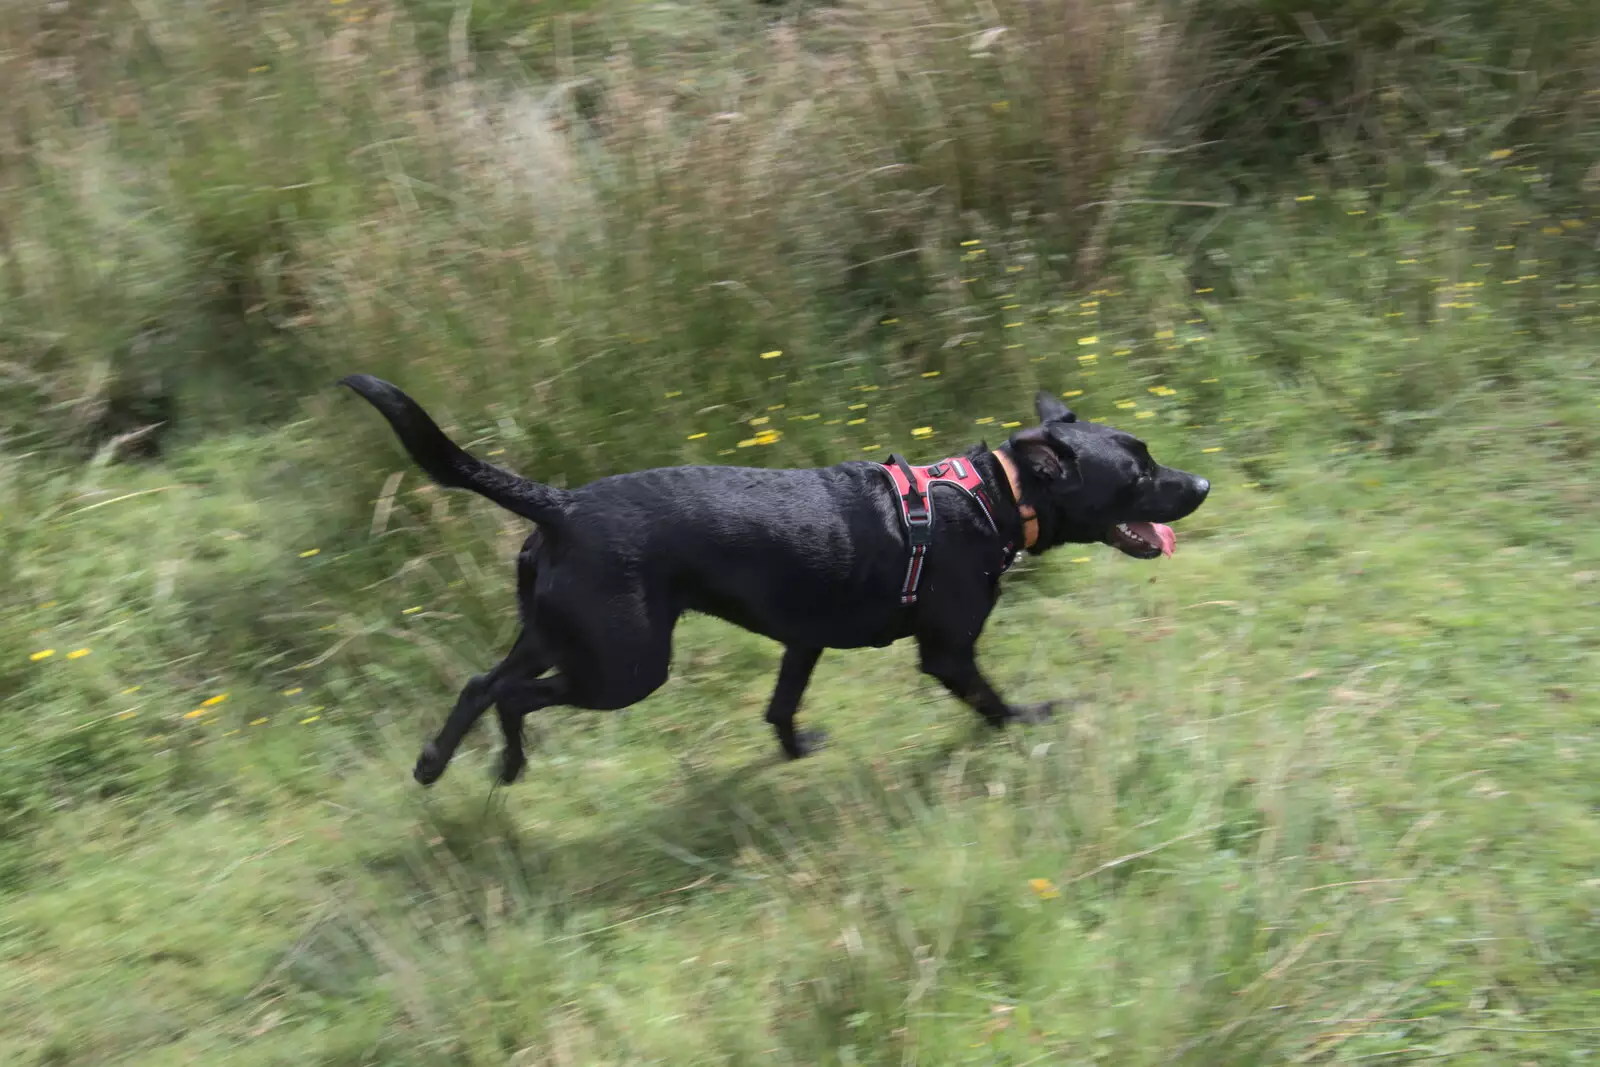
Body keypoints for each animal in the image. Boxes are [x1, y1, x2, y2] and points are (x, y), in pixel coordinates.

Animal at [344, 377, 1203, 783]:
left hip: (560, 633)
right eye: (1138, 474)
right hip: (627, 664)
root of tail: (561, 504)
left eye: (1150, 456)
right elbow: (990, 699)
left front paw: (794, 751)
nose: (1200, 484)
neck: (994, 496)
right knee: (512, 695)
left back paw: (442, 764)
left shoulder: (803, 639)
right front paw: (1031, 720)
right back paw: (506, 762)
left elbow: (780, 704)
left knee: (480, 684)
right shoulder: (948, 651)